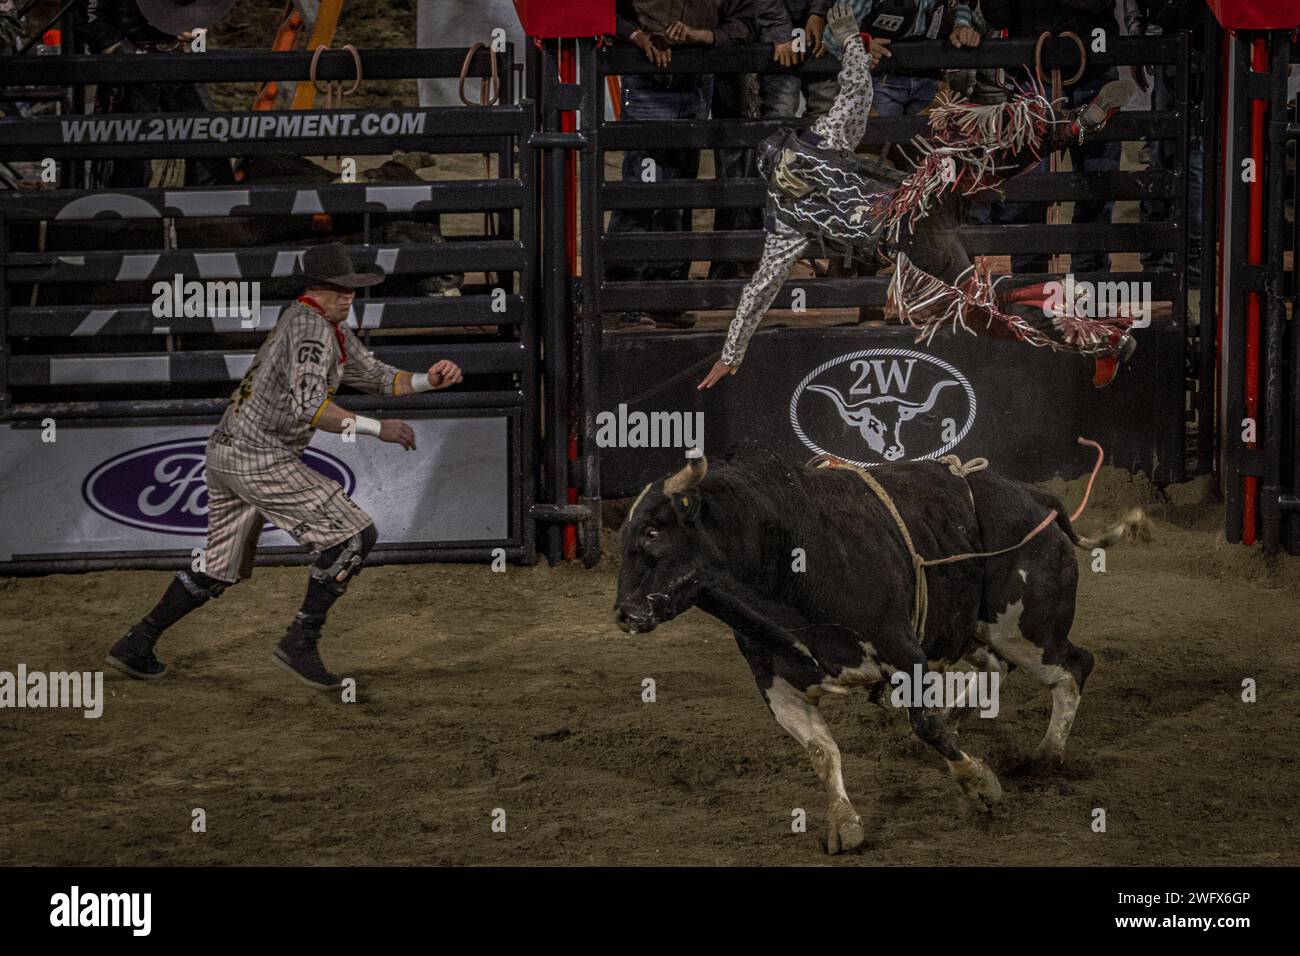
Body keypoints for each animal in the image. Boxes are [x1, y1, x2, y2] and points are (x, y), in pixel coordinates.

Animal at [613, 444, 1154, 858]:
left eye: (653, 533)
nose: (625, 612)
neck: (790, 553)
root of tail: (1034, 496)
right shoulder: (774, 681)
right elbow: (821, 750)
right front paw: (843, 824)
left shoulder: (902, 650)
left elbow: (926, 726)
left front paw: (980, 786)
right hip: (973, 631)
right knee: (997, 669)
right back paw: (968, 716)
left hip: (1026, 629)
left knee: (1072, 667)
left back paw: (1046, 756)